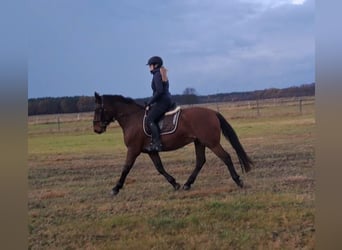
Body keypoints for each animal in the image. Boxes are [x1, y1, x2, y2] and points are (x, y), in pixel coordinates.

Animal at [92, 92, 252, 195]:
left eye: (98, 109)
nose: (96, 129)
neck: (132, 118)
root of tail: (213, 112)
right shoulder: (151, 151)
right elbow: (160, 168)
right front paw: (175, 183)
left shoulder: (133, 149)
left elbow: (126, 167)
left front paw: (115, 188)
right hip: (199, 142)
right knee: (200, 161)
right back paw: (187, 184)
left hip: (211, 143)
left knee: (226, 157)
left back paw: (238, 181)